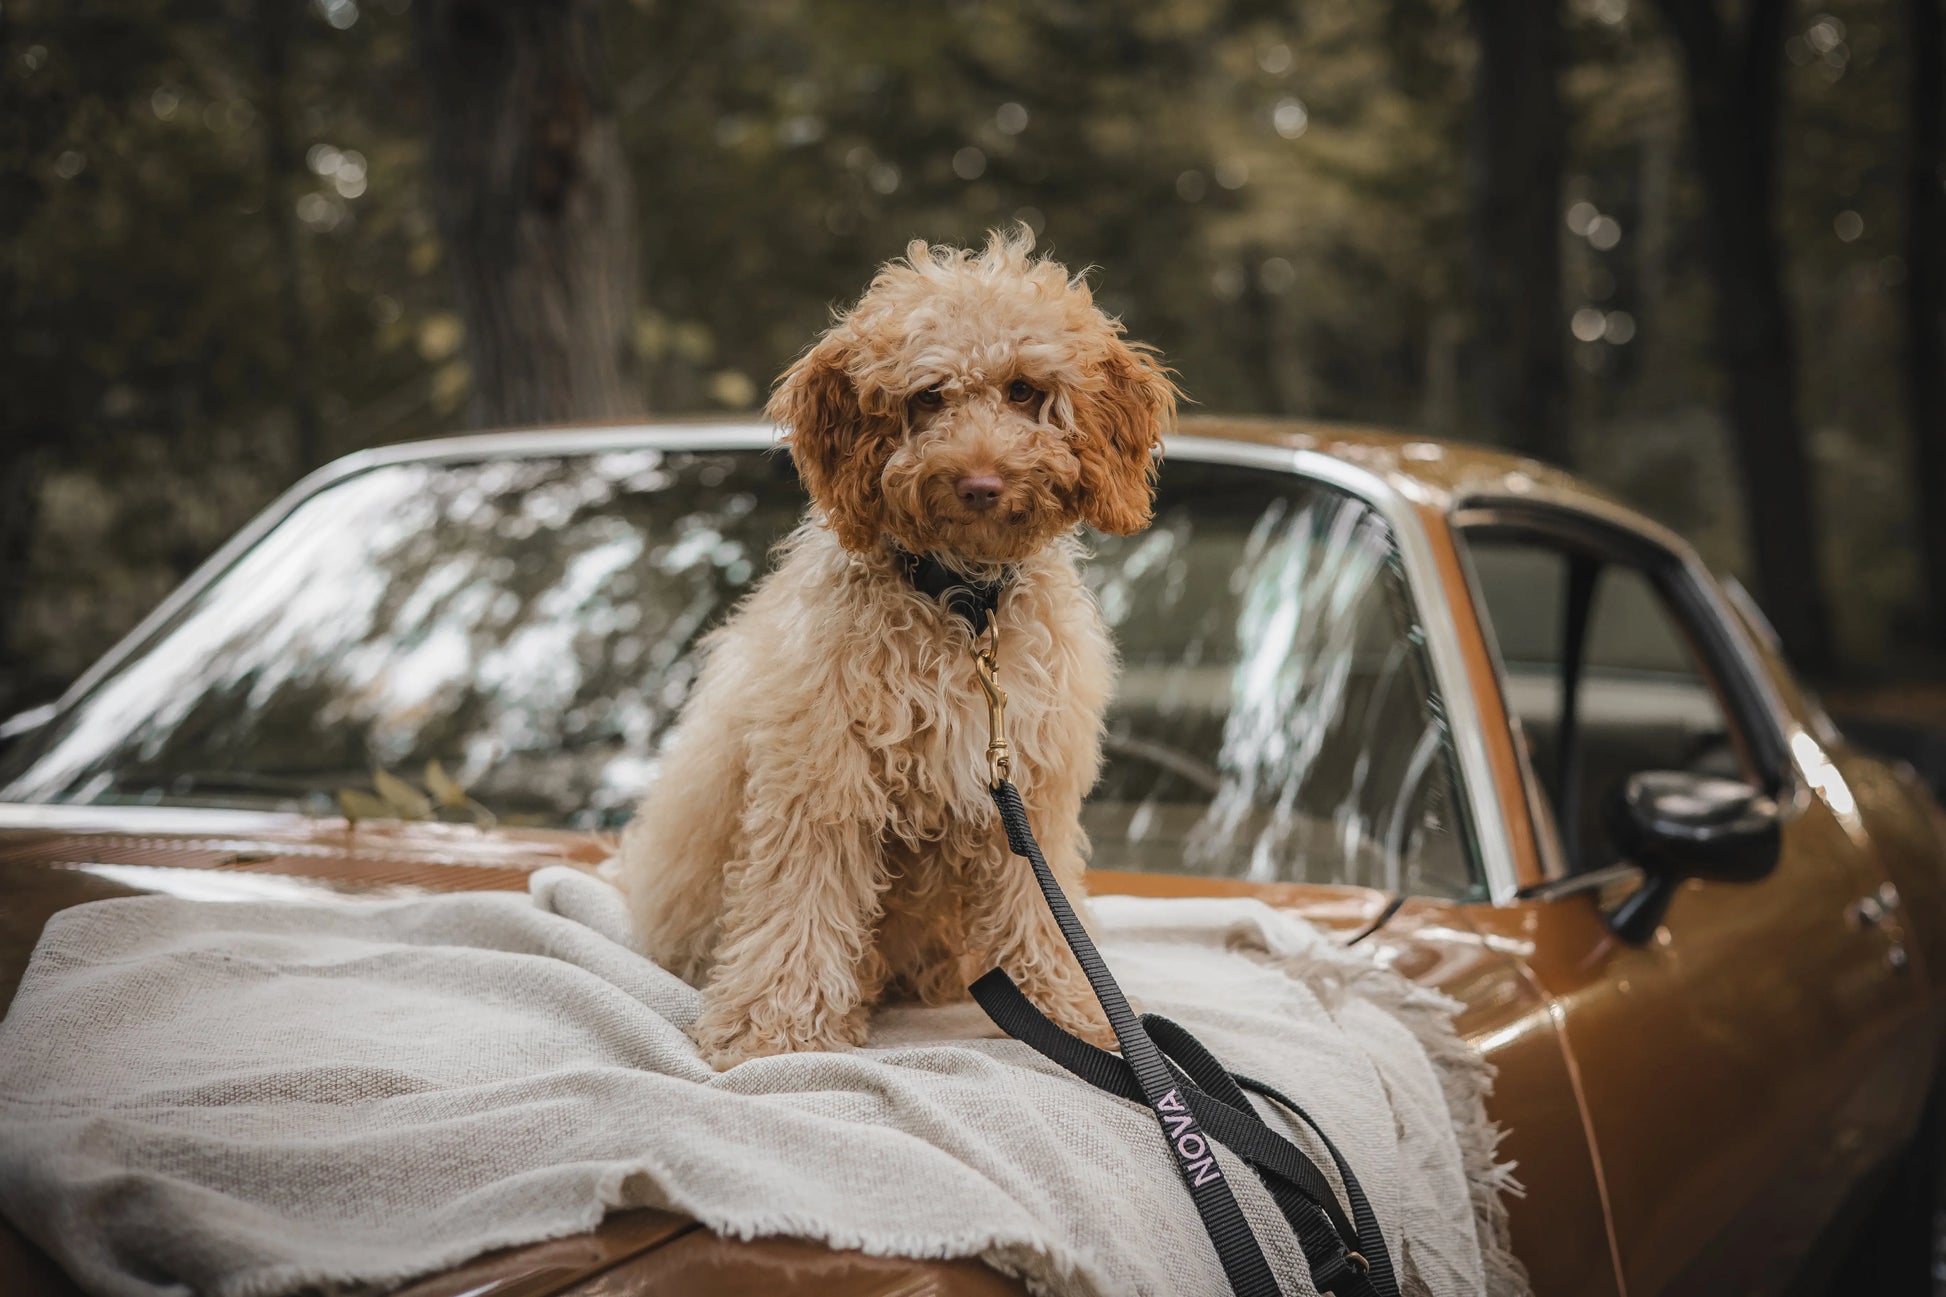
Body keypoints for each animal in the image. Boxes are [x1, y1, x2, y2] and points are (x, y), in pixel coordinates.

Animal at [618, 226, 1167, 1067]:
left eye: (1022, 390)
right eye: (928, 396)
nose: (980, 483)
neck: (962, 604)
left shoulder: (1029, 789)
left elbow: (1042, 909)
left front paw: (1071, 1012)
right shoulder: (819, 775)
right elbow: (800, 901)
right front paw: (776, 1030)